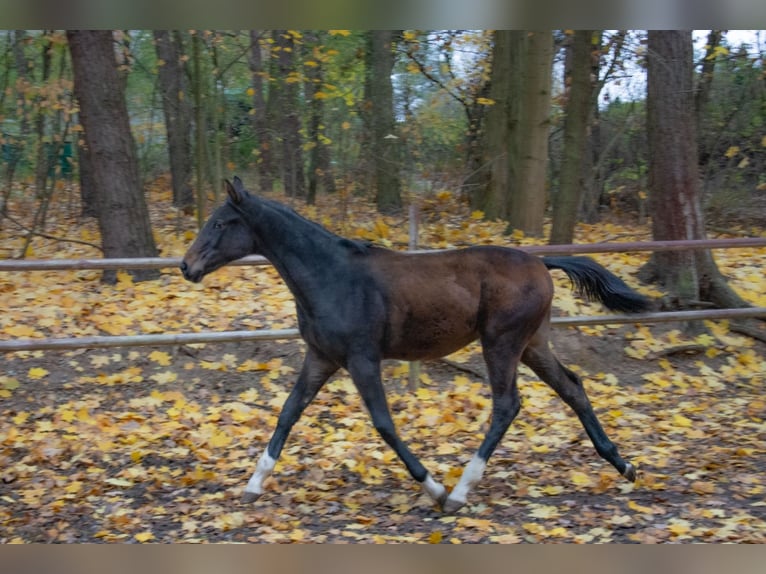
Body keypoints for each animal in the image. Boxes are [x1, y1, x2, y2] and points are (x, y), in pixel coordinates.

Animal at [183, 178, 652, 516]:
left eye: (220, 223)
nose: (187, 266)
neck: (331, 276)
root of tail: (541, 261)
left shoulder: (362, 359)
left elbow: (384, 424)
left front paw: (435, 490)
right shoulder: (321, 357)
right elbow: (288, 413)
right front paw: (252, 486)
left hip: (502, 343)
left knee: (507, 404)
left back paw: (461, 491)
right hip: (533, 343)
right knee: (572, 387)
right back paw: (624, 466)